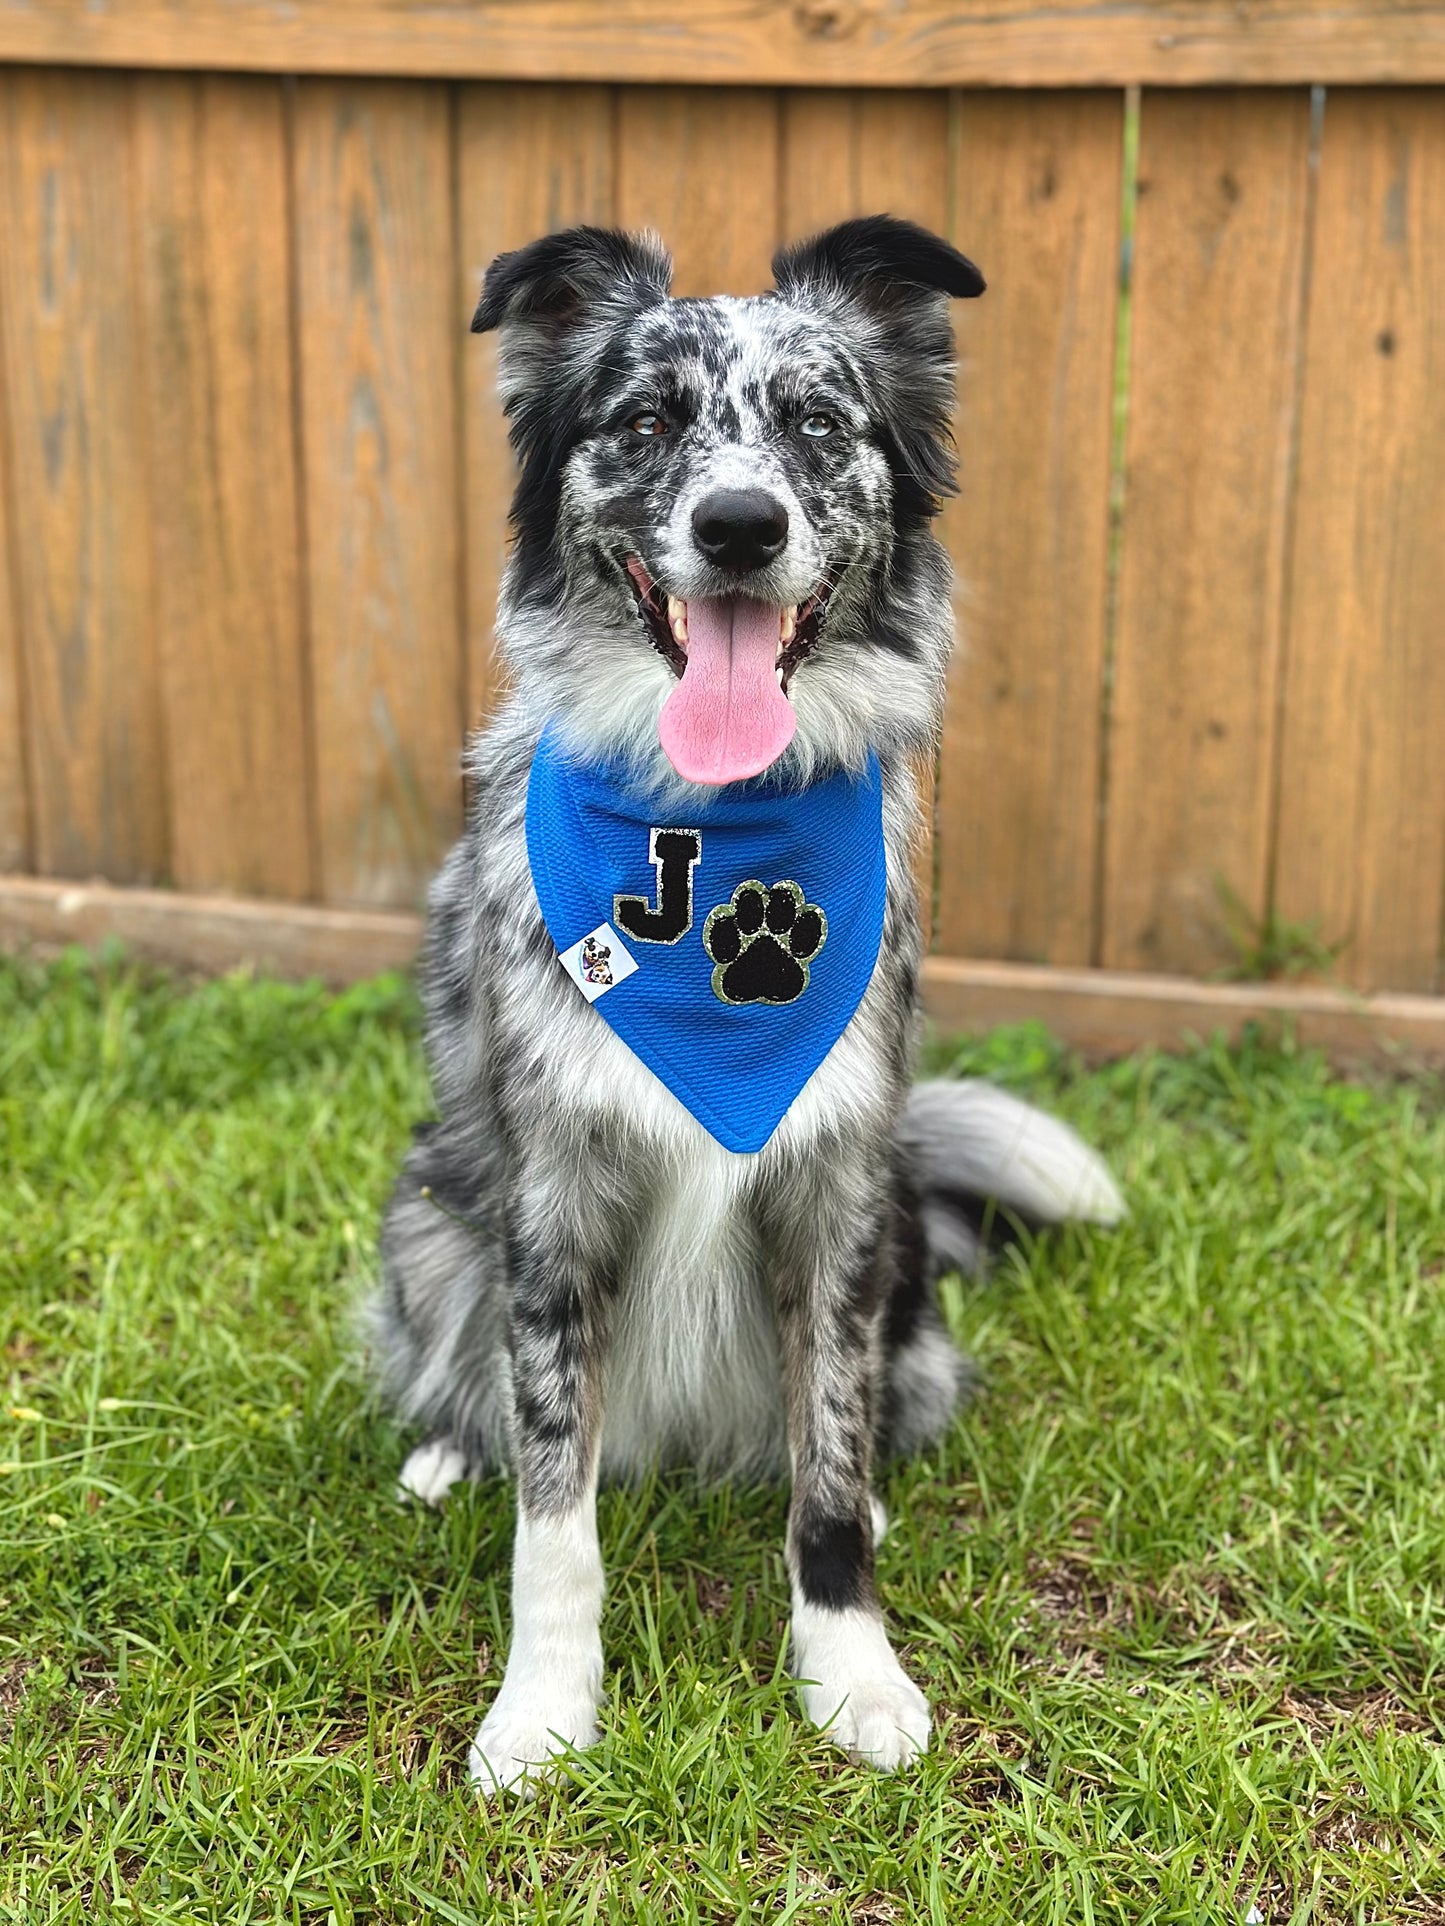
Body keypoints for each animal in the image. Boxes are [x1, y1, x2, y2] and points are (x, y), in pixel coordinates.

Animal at [375, 214, 1132, 1787]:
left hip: (896, 1230)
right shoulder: (553, 1200)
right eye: (647, 421)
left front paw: (851, 1675)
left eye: (817, 423)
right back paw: (446, 1451)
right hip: (429, 1210)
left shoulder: (836, 1192)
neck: (707, 820)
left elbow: (826, 1478)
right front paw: (542, 1709)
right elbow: (554, 1512)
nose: (739, 526)